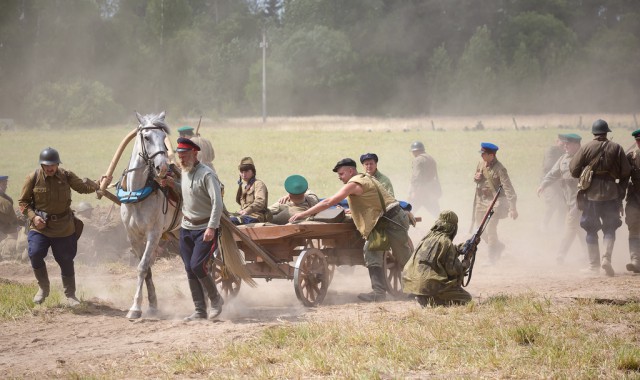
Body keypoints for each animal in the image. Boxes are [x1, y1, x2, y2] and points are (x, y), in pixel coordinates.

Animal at [119, 111, 180, 320]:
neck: (136, 195)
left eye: (163, 137)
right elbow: (146, 269)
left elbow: (142, 267)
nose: (162, 167)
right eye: (146, 137)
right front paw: (152, 304)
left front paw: (135, 307)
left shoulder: (153, 233)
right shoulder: (133, 236)